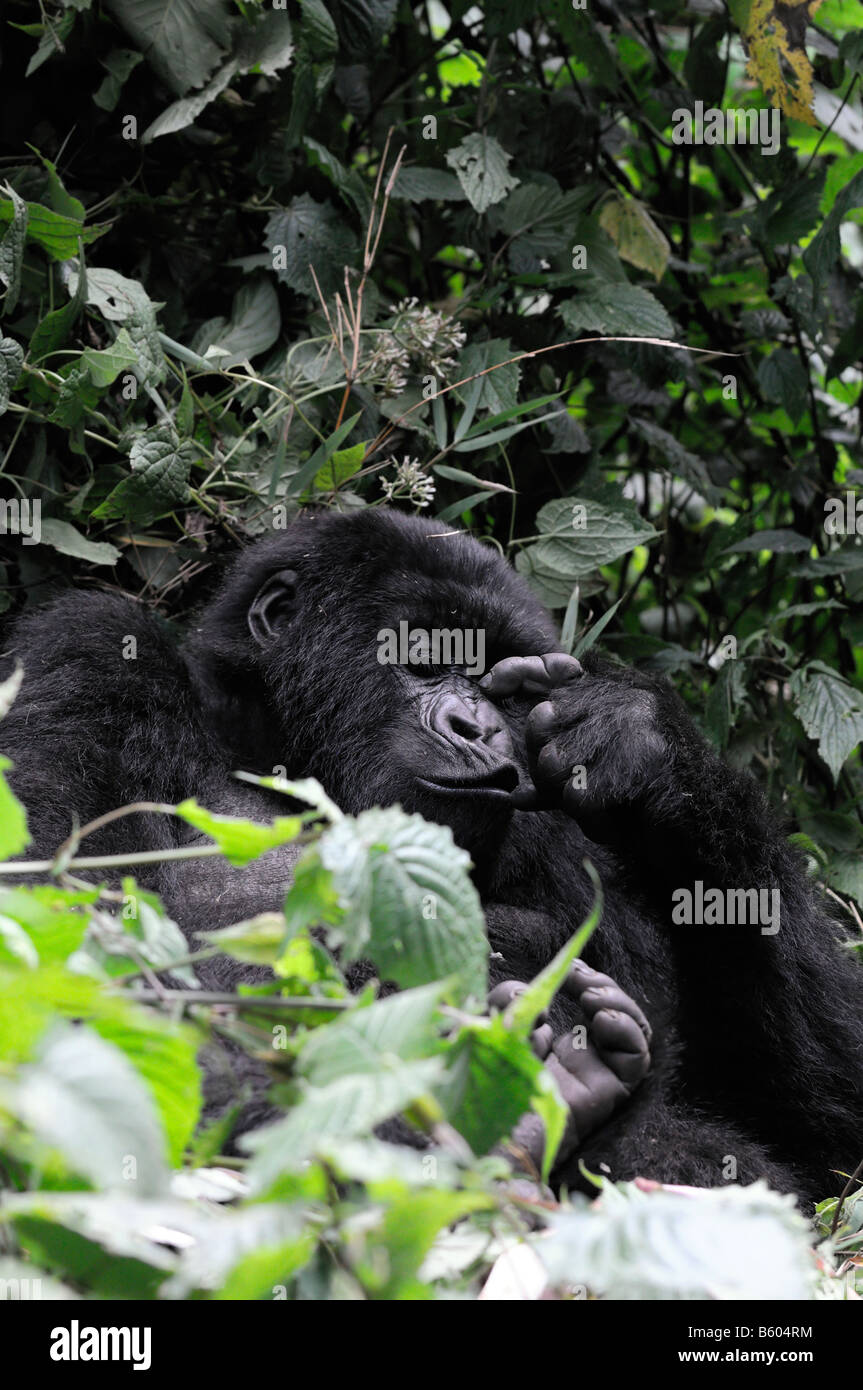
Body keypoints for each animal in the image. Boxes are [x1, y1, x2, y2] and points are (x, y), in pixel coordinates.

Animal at [1, 505, 861, 1200]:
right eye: (423, 655)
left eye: (505, 691)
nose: (478, 728)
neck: (275, 753)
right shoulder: (90, 658)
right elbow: (62, 953)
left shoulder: (562, 820)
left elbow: (821, 1120)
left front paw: (645, 739)